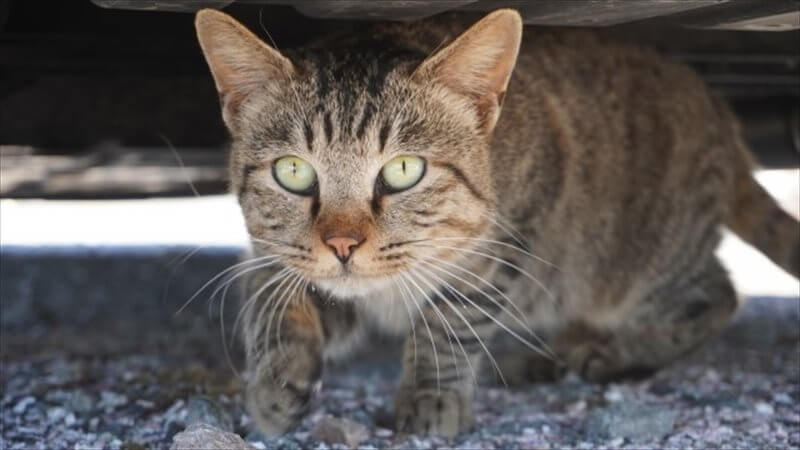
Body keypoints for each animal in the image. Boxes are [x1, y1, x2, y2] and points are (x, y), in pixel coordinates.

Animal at [194, 7, 800, 436]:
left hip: (641, 266)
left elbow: (447, 321)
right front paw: (277, 376)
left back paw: (609, 349)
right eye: (293, 172)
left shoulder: (512, 240)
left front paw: (432, 395)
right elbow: (270, 295)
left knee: (716, 295)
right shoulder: (273, 255)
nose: (342, 243)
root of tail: (719, 110)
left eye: (404, 170)